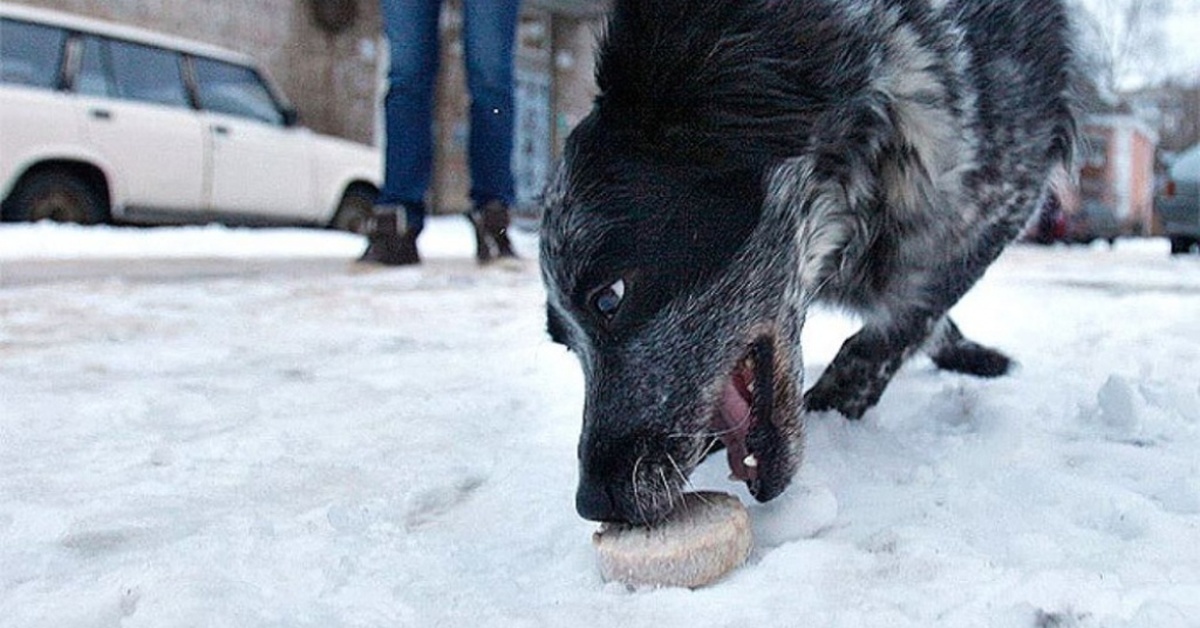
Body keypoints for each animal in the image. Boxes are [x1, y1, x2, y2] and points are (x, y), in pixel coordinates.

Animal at [540, 0, 1075, 525]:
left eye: (609, 297)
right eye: (564, 342)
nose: (594, 503)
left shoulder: (1006, 191)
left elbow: (900, 323)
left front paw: (831, 411)